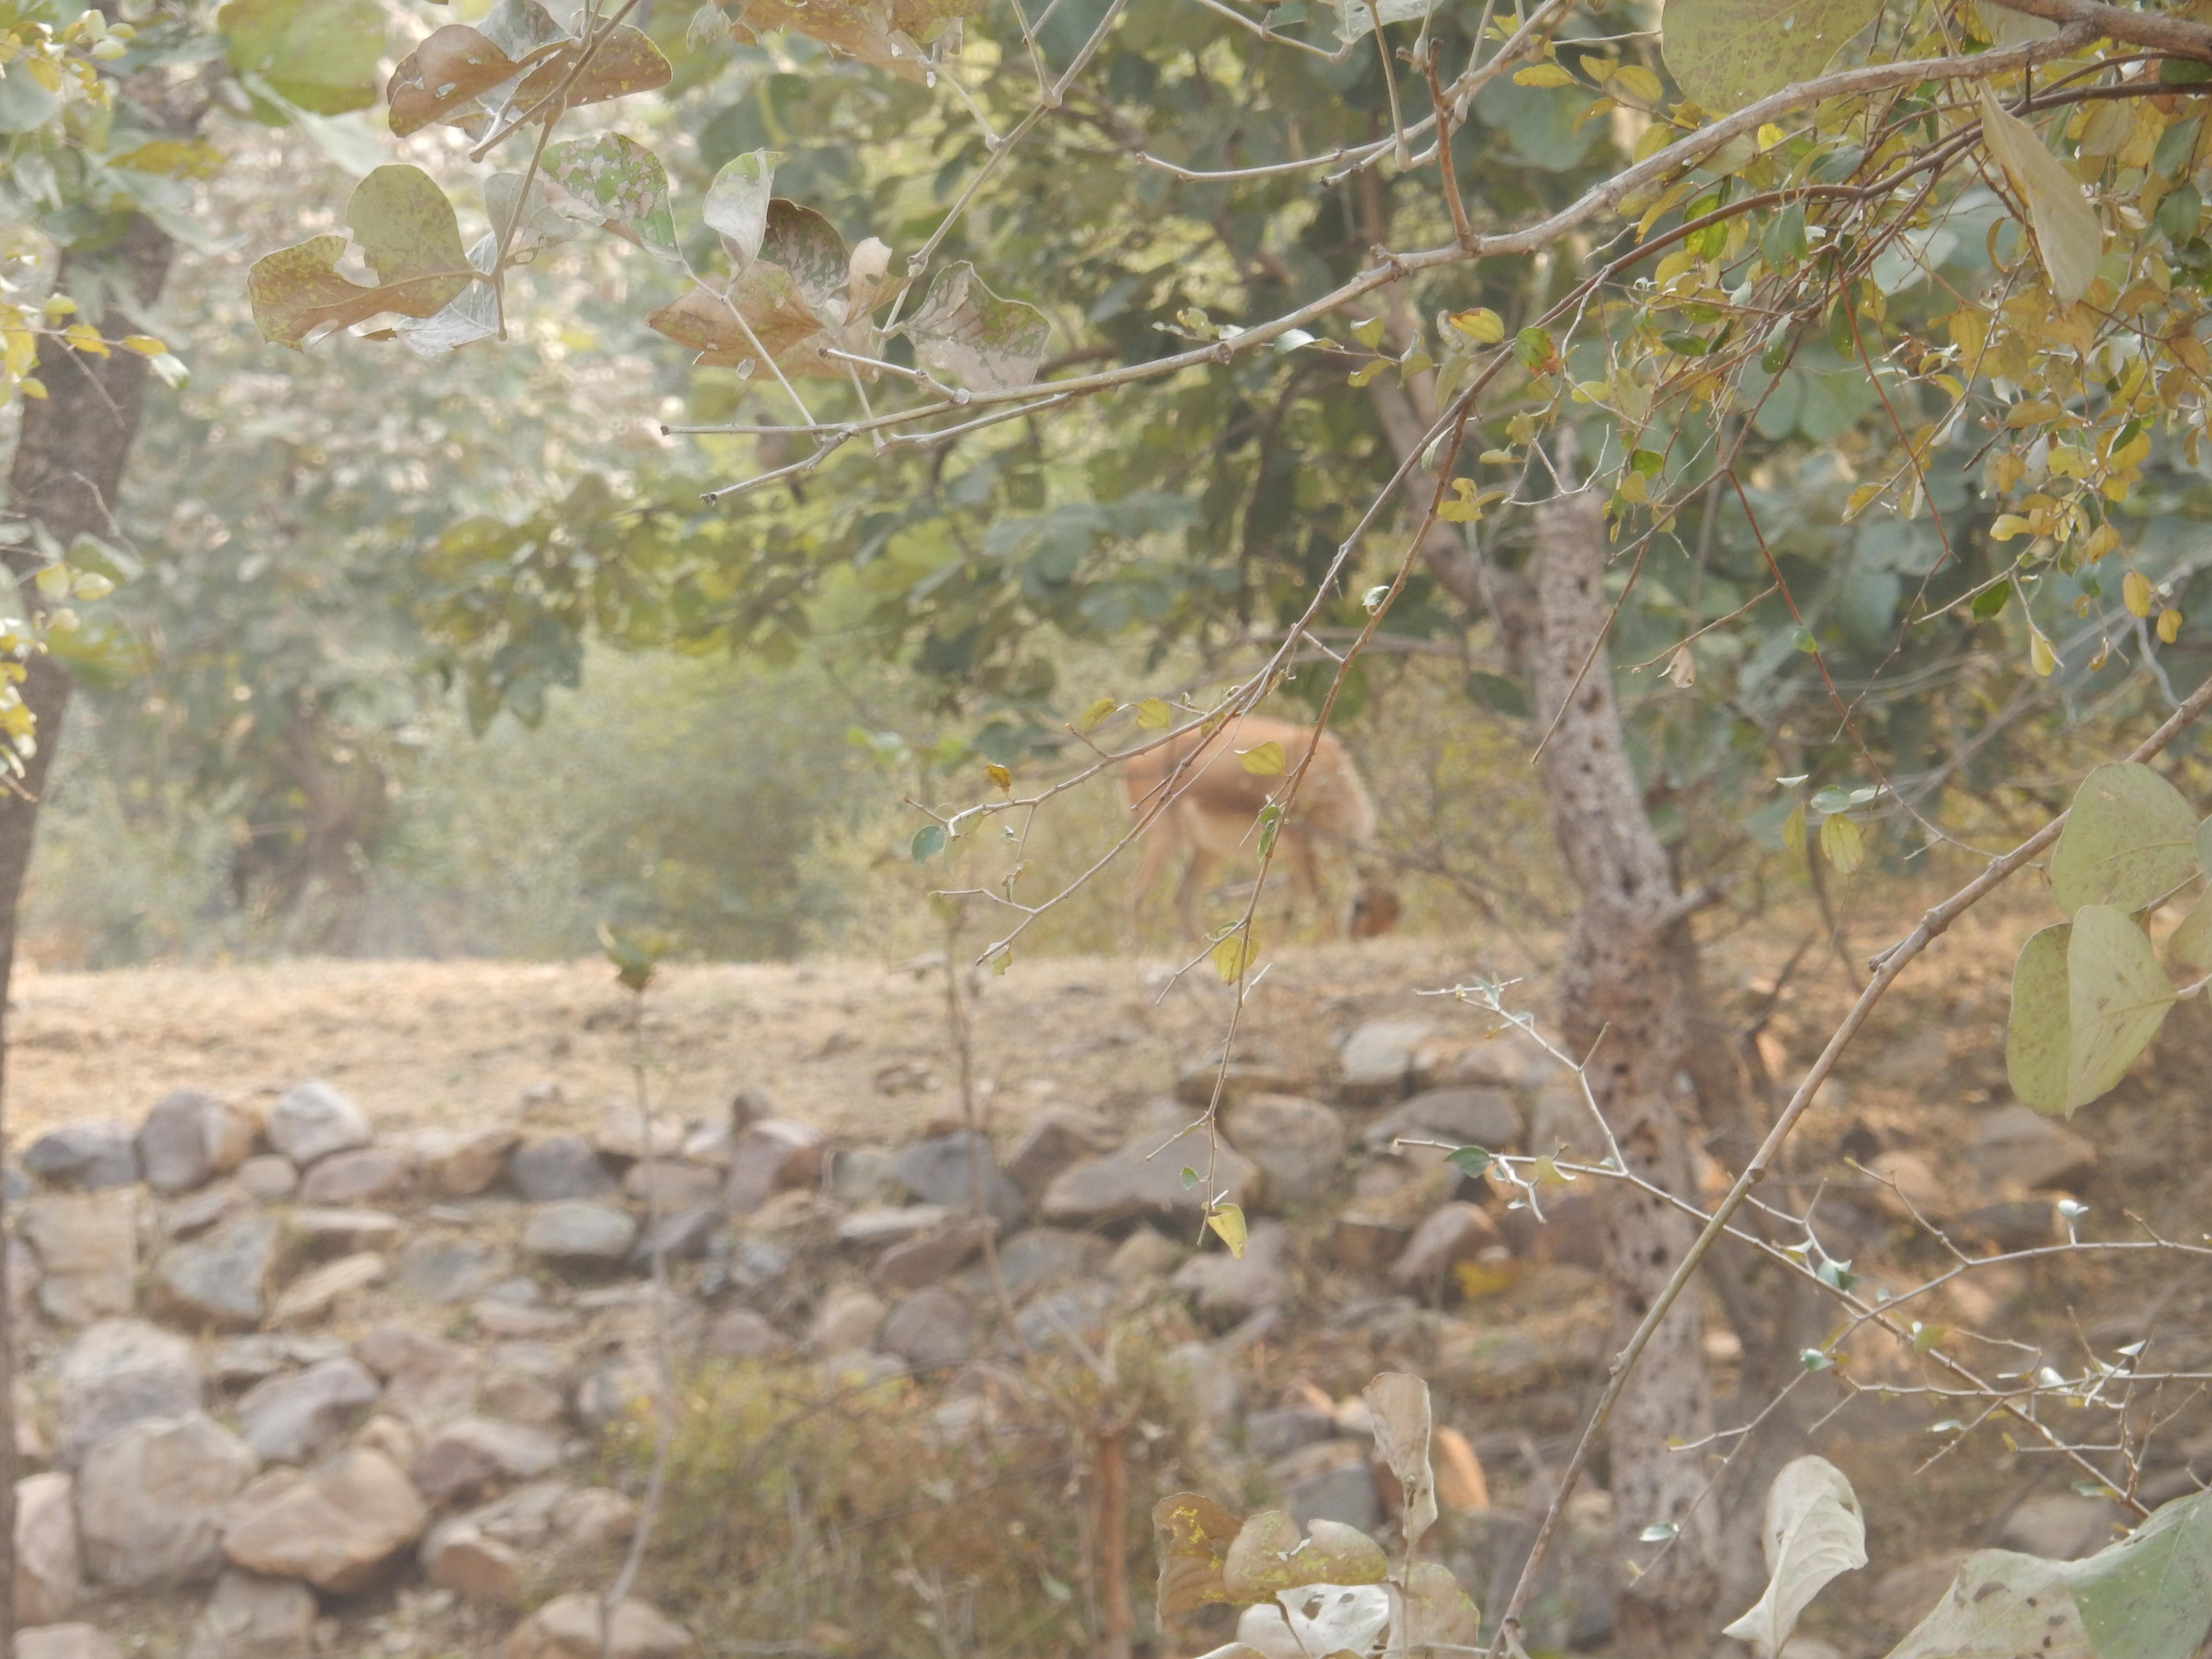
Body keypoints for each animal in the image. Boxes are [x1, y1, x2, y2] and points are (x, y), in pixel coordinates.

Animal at [1121, 714, 1400, 943]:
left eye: (1397, 909)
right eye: (1359, 905)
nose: (1368, 938)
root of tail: (1132, 767)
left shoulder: (1292, 856)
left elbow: (1288, 909)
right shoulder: (1300, 846)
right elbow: (1319, 899)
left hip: (1207, 851)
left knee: (1182, 897)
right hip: (1165, 840)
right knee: (1136, 890)